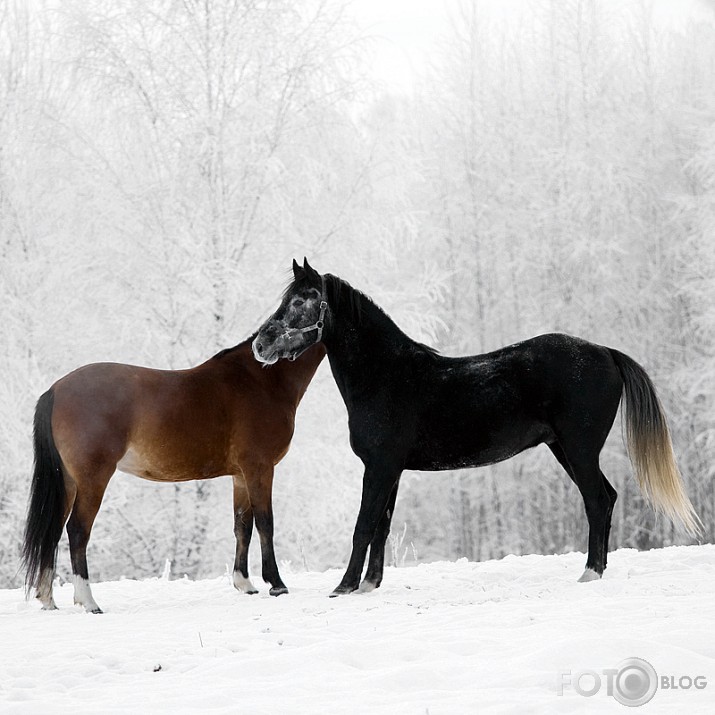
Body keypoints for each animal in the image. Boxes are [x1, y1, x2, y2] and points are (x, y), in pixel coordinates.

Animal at [21, 338, 324, 612]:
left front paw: (245, 584)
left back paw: (47, 599)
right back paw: (89, 601)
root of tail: (55, 390)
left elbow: (242, 526)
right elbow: (265, 523)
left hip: (68, 482)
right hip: (92, 480)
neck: (260, 379)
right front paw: (276, 584)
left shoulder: (240, 476)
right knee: (77, 531)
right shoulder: (260, 468)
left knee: (53, 530)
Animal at [255, 260, 704, 596]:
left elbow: (363, 525)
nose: (261, 344)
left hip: (578, 449)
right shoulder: (391, 470)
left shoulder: (379, 467)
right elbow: (382, 526)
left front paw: (344, 587)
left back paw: (589, 573)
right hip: (564, 449)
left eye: (302, 301)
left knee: (596, 501)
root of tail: (606, 353)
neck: (387, 376)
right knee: (607, 498)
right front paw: (369, 585)